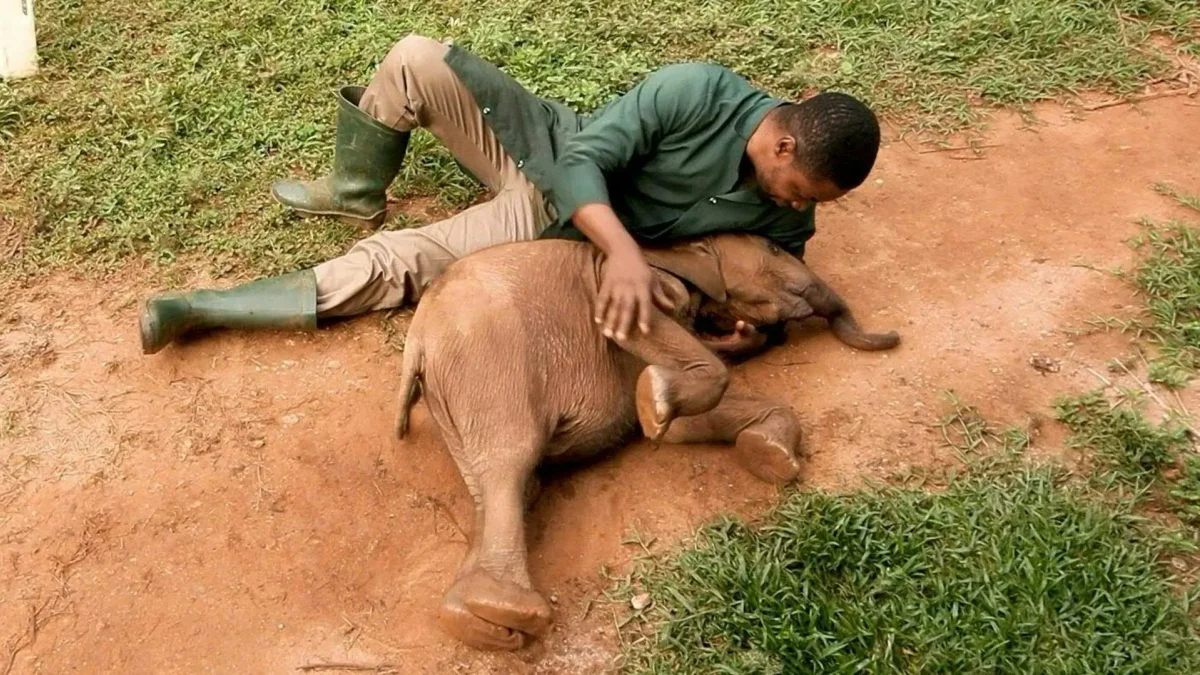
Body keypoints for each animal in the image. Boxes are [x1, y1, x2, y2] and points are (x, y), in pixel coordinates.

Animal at [393, 233, 899, 651]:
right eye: (774, 250)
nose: (894, 337)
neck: (676, 247)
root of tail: (417, 340)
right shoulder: (633, 289)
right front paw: (655, 399)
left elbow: (685, 425)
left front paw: (764, 453)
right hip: (489, 359)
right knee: (511, 464)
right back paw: (508, 608)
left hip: (451, 395)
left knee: (507, 488)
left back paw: (473, 619)